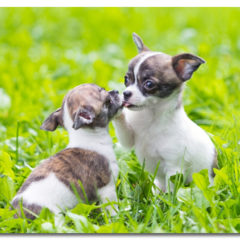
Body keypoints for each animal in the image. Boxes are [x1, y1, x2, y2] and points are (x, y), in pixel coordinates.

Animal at [11, 83, 121, 218]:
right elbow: (111, 209)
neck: (87, 136)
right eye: (108, 101)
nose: (116, 91)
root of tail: (16, 214)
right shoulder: (108, 188)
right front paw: (117, 218)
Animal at [113, 33, 217, 191]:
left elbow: (171, 190)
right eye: (126, 79)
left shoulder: (173, 167)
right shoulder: (128, 138)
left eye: (149, 84)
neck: (151, 116)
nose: (125, 93)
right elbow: (124, 133)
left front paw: (168, 199)